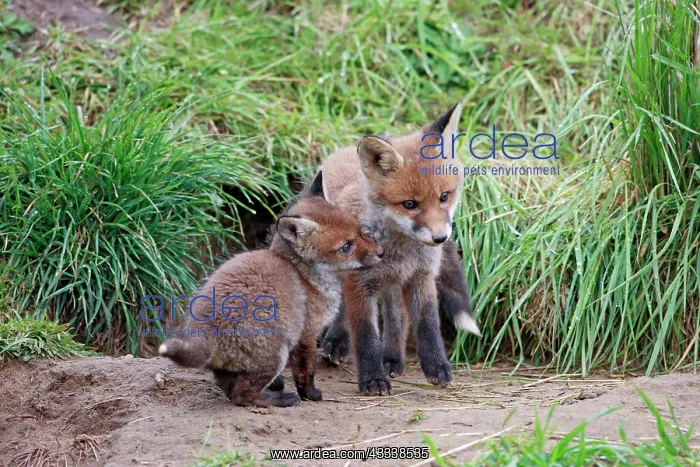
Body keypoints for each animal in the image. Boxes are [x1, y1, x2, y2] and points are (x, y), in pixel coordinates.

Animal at [158, 171, 383, 407]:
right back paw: (281, 398)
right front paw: (310, 395)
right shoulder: (307, 334)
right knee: (243, 396)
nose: (381, 252)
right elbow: (306, 372)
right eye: (346, 247)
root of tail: (205, 331)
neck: (302, 275)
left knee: (230, 391)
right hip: (276, 354)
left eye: (360, 231)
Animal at [318, 104, 474, 395]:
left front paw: (438, 367)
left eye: (444, 196)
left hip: (394, 284)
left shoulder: (422, 277)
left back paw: (392, 358)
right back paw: (338, 342)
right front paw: (372, 379)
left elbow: (428, 324)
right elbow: (365, 335)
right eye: (409, 204)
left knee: (397, 316)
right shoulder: (358, 284)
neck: (403, 252)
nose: (440, 238)